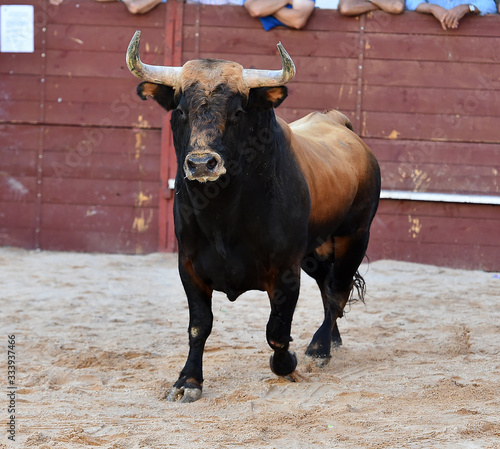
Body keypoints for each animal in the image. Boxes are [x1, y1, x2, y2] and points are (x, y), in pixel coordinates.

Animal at [127, 31, 380, 402]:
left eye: (237, 111)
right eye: (181, 111)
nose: (202, 164)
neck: (222, 214)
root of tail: (338, 122)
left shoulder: (286, 270)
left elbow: (277, 329)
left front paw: (287, 362)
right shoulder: (188, 265)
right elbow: (199, 325)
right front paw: (188, 380)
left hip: (355, 236)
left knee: (338, 289)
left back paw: (319, 348)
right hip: (316, 250)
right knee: (328, 287)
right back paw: (331, 340)